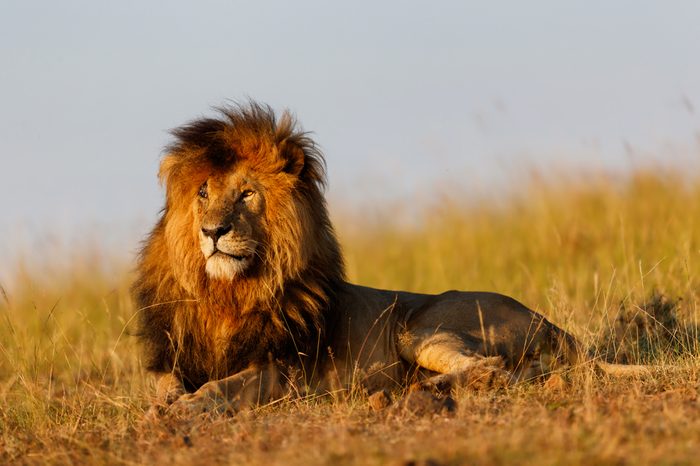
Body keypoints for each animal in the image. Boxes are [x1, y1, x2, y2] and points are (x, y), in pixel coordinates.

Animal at [134, 102, 648, 416]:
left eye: (246, 194)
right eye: (203, 193)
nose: (212, 231)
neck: (228, 293)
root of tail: (553, 325)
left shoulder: (280, 371)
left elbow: (221, 386)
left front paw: (189, 407)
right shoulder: (179, 354)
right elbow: (165, 384)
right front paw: (164, 404)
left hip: (419, 327)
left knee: (489, 367)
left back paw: (419, 390)